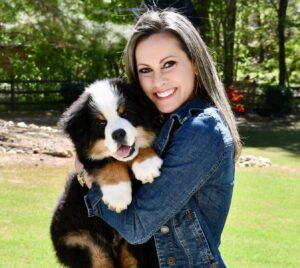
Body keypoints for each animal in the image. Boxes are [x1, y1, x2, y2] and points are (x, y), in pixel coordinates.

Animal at [50, 78, 162, 268]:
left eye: (126, 114)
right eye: (101, 123)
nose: (118, 134)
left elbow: (141, 146)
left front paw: (147, 165)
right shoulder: (86, 155)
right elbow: (107, 162)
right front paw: (118, 196)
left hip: (133, 246)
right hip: (84, 242)